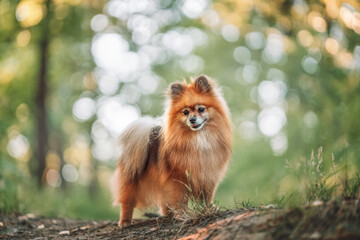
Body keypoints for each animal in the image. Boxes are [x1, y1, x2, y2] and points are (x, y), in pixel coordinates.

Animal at [111, 75, 232, 227]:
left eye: (201, 109)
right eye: (185, 112)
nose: (192, 119)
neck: (198, 139)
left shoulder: (208, 175)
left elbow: (207, 196)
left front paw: (208, 208)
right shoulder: (177, 178)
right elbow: (180, 198)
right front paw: (182, 214)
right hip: (132, 179)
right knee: (127, 202)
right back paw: (125, 221)